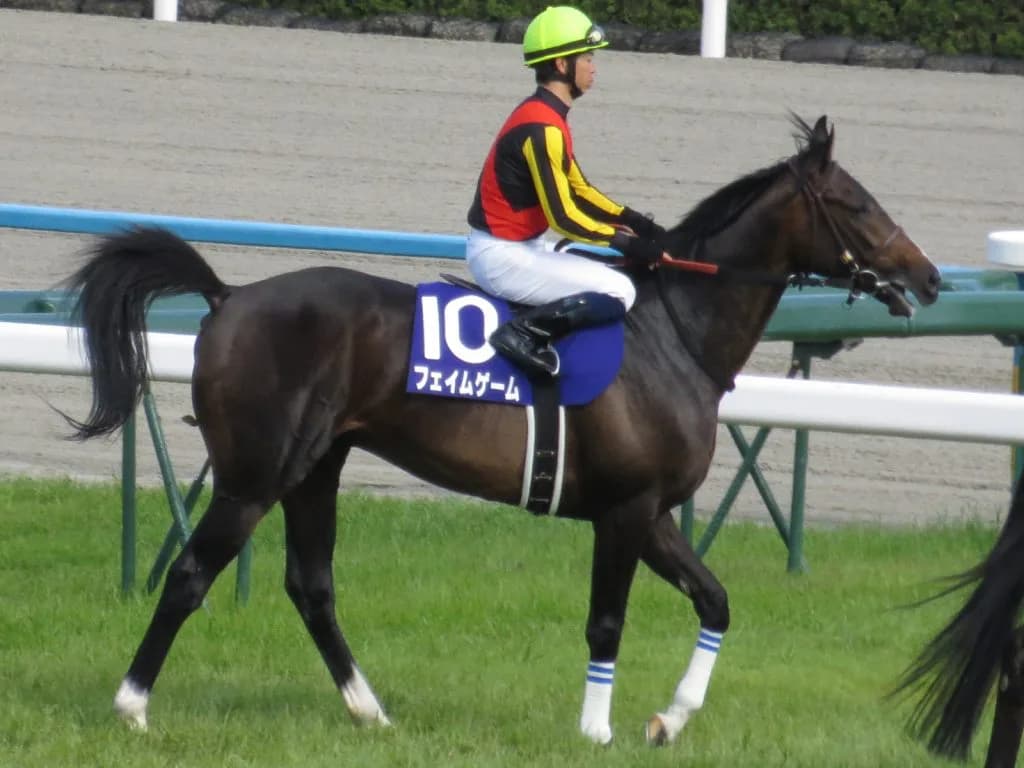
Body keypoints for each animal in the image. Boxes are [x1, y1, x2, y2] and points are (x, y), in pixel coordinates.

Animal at [65, 115, 940, 745]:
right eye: (859, 205)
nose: (928, 276)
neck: (674, 335)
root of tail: (228, 296)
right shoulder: (625, 510)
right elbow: (607, 620)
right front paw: (596, 730)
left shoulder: (654, 513)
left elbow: (717, 601)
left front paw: (670, 718)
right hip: (255, 476)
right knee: (191, 574)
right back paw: (132, 706)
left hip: (318, 467)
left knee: (311, 585)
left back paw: (370, 711)